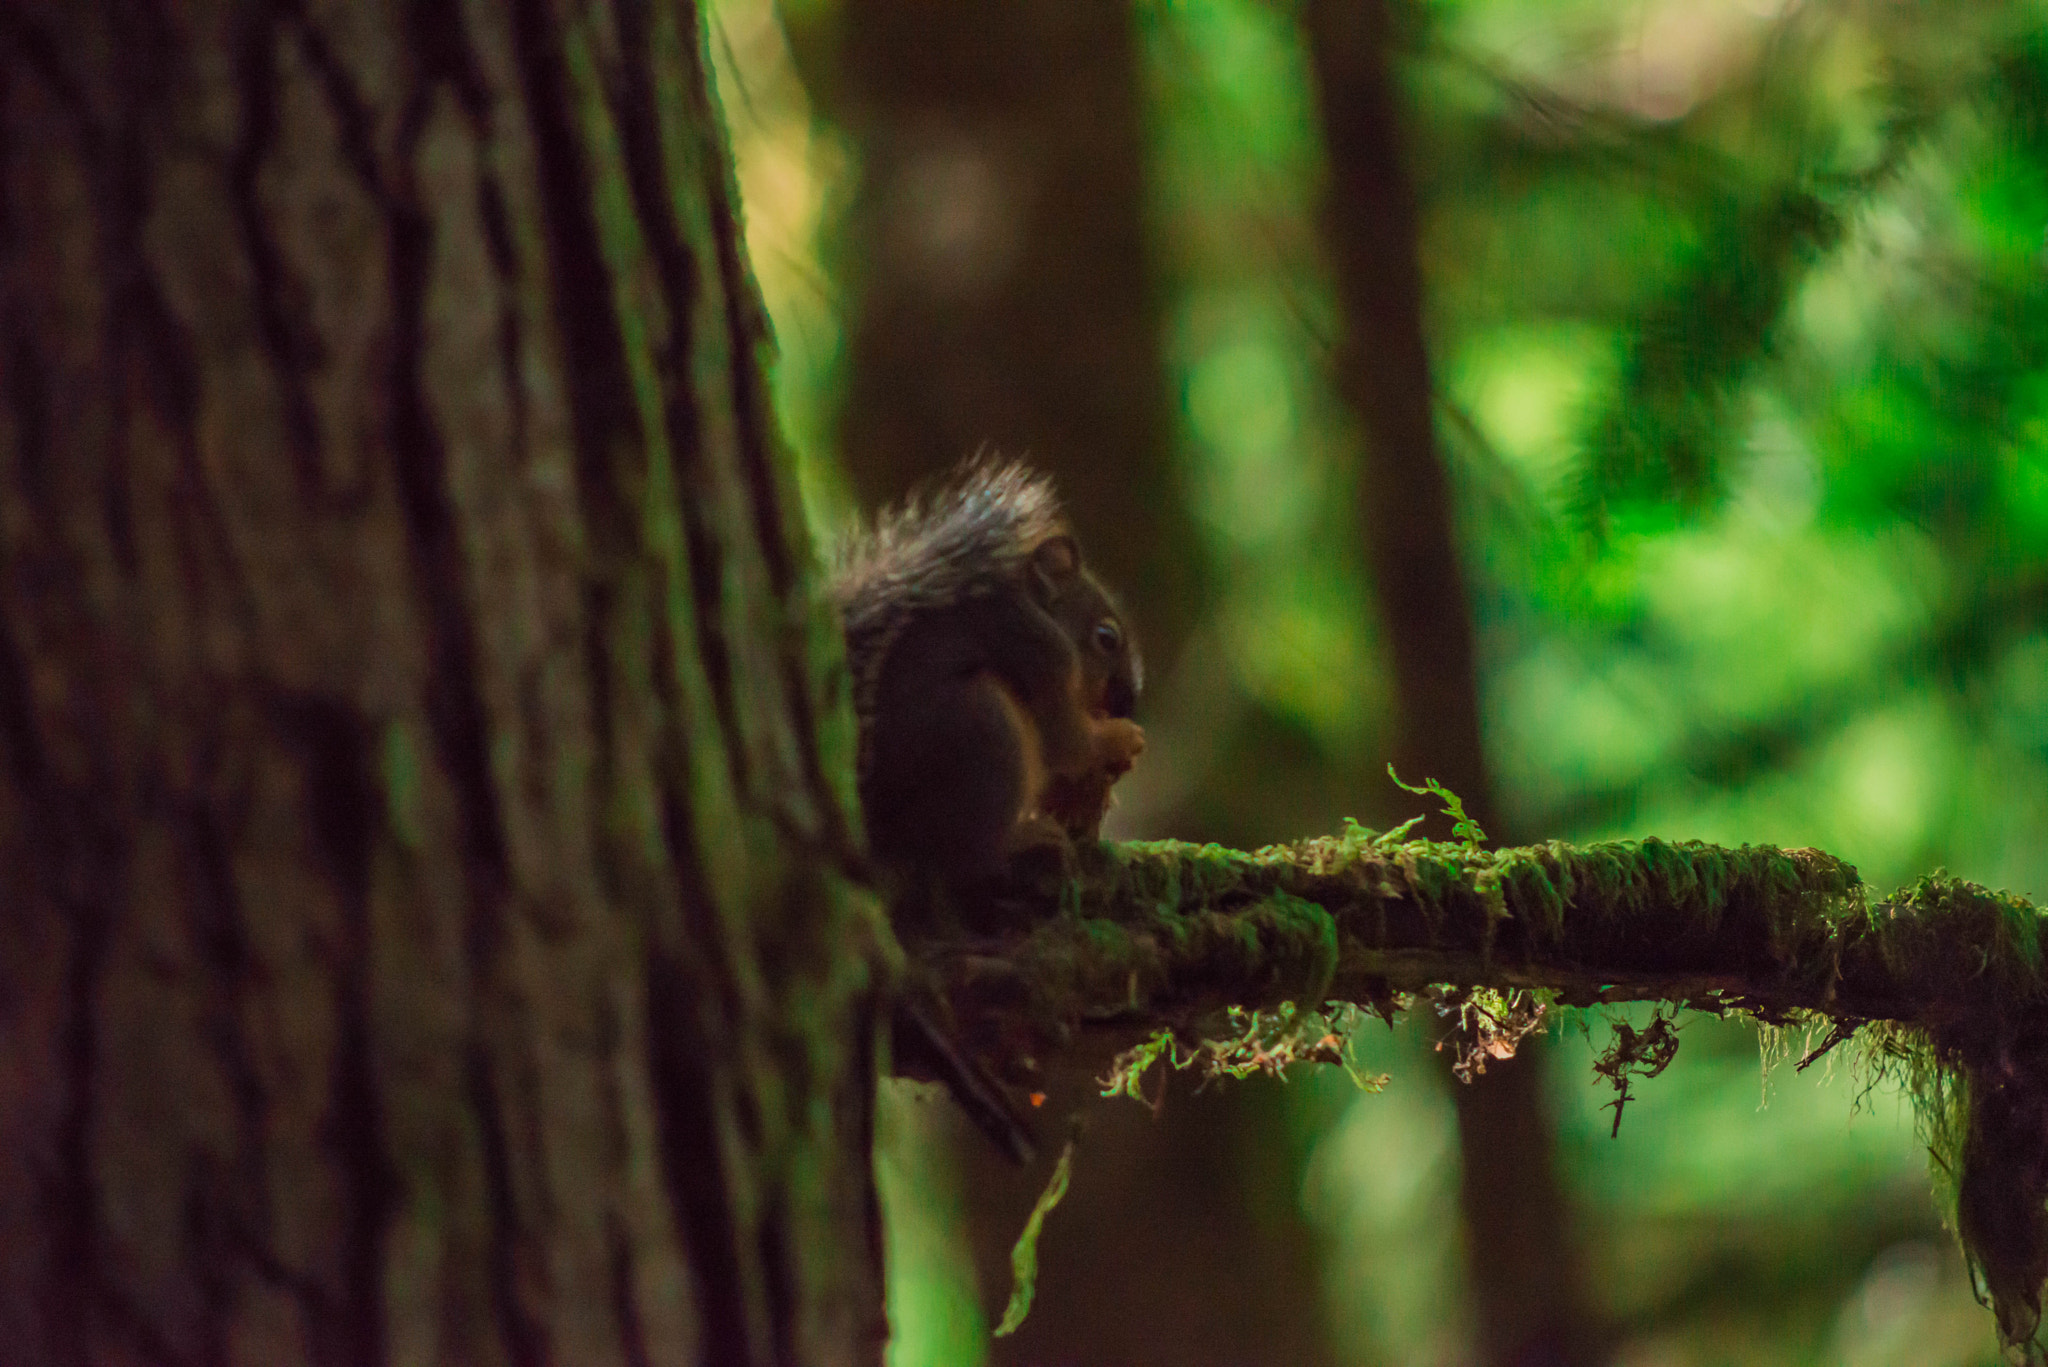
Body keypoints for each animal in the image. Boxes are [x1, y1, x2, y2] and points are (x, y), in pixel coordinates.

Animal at [831, 459, 1155, 889]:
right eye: (1107, 637)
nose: (1126, 701)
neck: (1040, 612)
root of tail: (882, 830)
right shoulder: (1040, 652)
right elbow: (1067, 742)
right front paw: (1124, 738)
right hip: (985, 728)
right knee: (970, 858)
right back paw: (1026, 840)